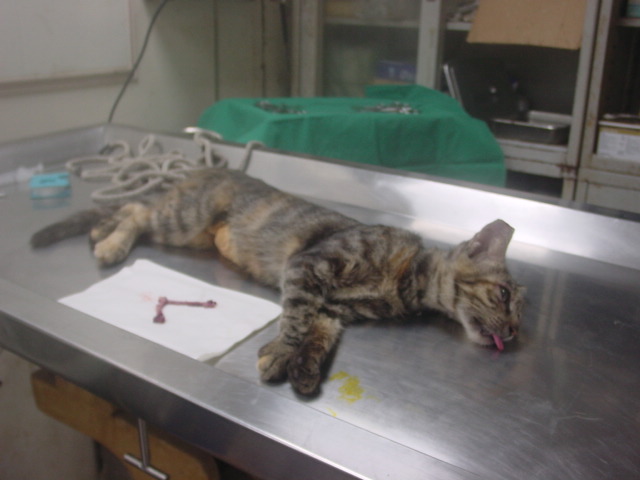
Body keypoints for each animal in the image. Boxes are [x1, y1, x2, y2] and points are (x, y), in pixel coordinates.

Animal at [31, 168, 525, 395]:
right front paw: (282, 352)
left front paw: (303, 365)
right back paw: (110, 243)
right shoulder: (310, 267)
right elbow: (295, 319)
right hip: (185, 221)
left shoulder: (333, 308)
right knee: (136, 211)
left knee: (133, 209)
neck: (406, 283)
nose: (514, 333)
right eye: (503, 296)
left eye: (518, 314)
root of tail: (202, 169)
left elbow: (317, 333)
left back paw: (101, 231)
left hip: (187, 230)